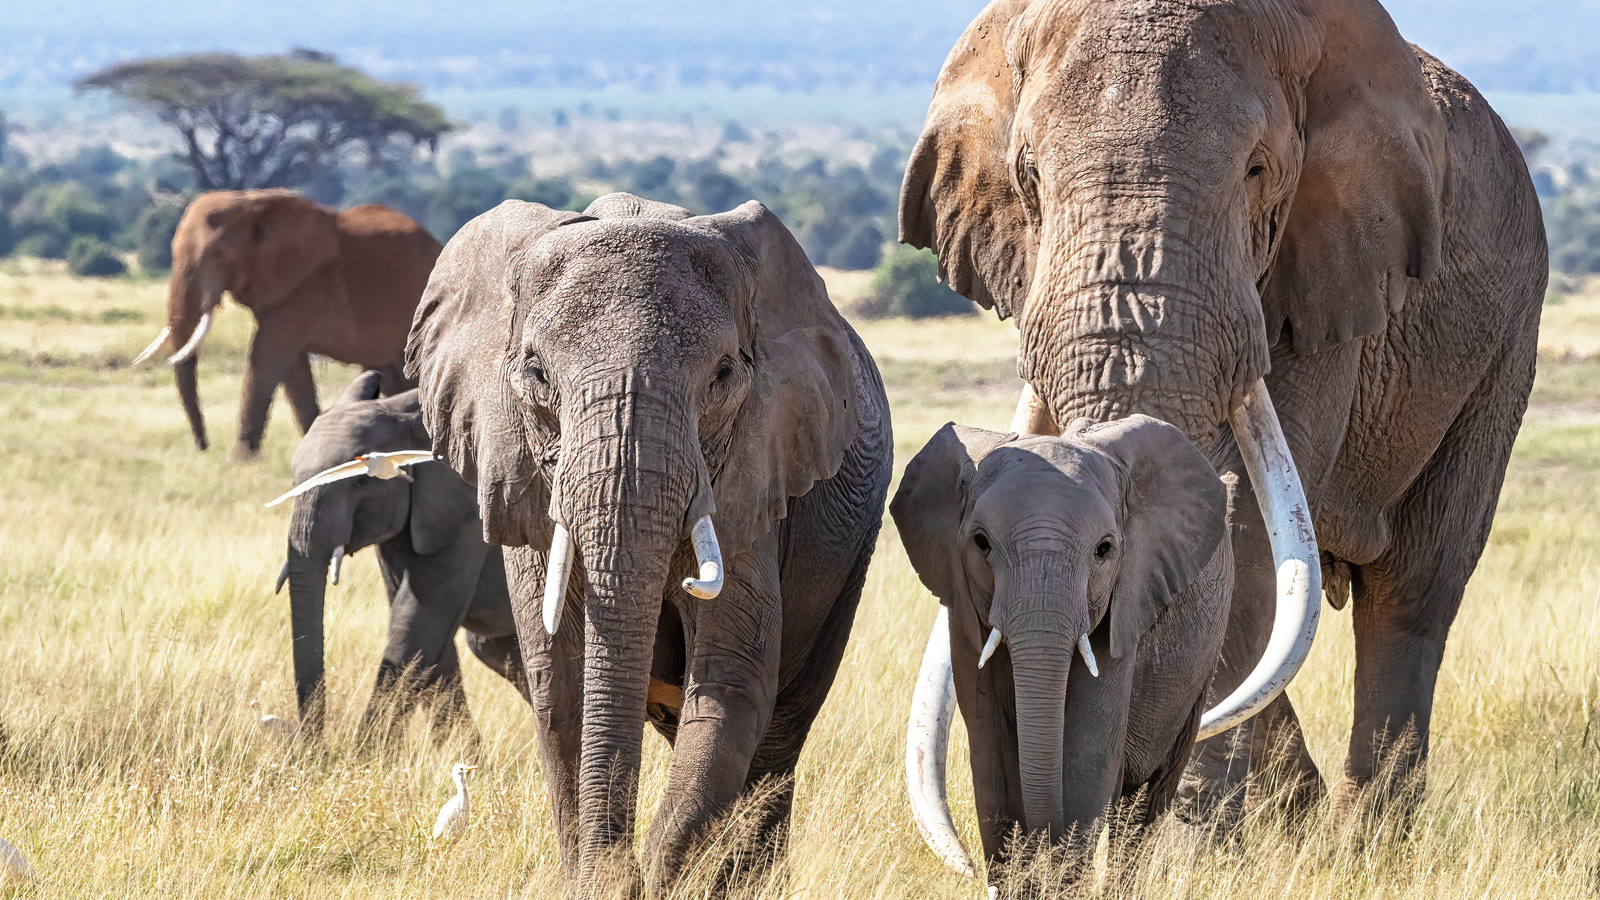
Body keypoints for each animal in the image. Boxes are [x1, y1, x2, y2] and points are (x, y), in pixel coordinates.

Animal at [130, 188, 441, 454]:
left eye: (219, 255)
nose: (205, 448)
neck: (250, 204)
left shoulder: (305, 289)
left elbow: (267, 358)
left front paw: (241, 461)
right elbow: (291, 369)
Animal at [273, 368, 524, 739]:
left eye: (362, 483)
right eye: (295, 480)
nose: (313, 745)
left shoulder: (469, 516)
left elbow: (417, 626)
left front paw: (364, 753)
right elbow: (429, 643)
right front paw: (462, 753)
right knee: (498, 651)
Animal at [406, 190, 896, 890]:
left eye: (723, 376)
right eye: (537, 373)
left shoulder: (756, 472)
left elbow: (731, 682)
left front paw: (665, 879)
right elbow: (560, 687)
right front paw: (602, 883)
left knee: (781, 730)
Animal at [896, 416, 1228, 877]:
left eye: (1104, 550)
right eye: (981, 543)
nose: (1042, 845)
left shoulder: (1124, 604)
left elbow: (1085, 759)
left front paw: (1057, 876)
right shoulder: (962, 611)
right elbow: (992, 759)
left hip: (1202, 667)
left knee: (1146, 804)